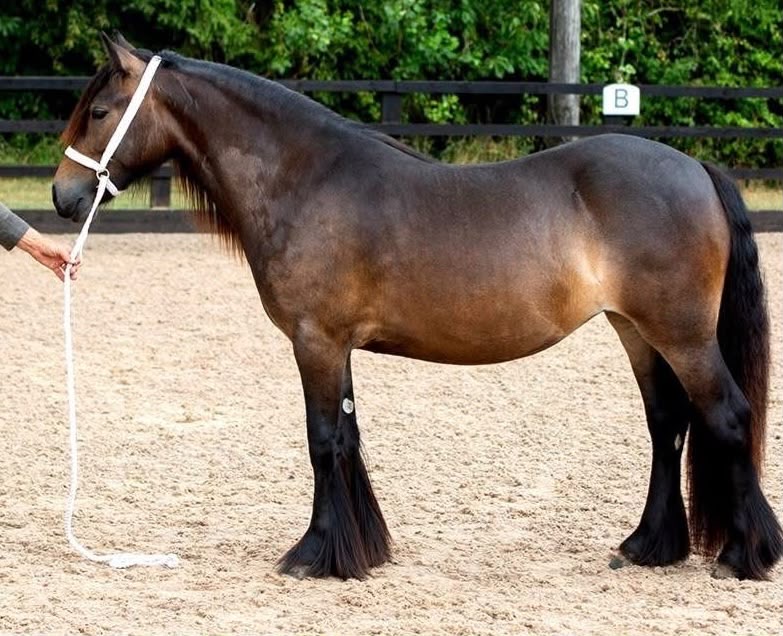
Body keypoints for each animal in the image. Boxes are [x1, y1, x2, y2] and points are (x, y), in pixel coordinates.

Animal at [52, 34, 781, 581]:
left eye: (99, 111)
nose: (62, 196)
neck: (305, 178)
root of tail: (694, 168)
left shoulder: (315, 340)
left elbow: (323, 441)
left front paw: (314, 555)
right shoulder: (335, 344)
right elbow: (347, 438)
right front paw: (361, 550)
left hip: (681, 335)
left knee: (725, 415)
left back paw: (742, 556)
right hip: (636, 331)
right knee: (667, 424)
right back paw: (647, 547)